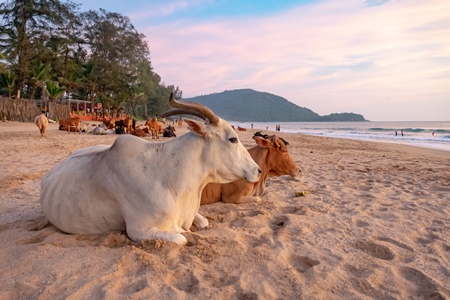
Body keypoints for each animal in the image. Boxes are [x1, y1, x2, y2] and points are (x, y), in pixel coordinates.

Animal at [41, 92, 264, 245]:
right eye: (232, 139)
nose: (258, 171)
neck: (170, 179)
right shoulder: (139, 230)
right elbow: (182, 237)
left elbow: (204, 223)